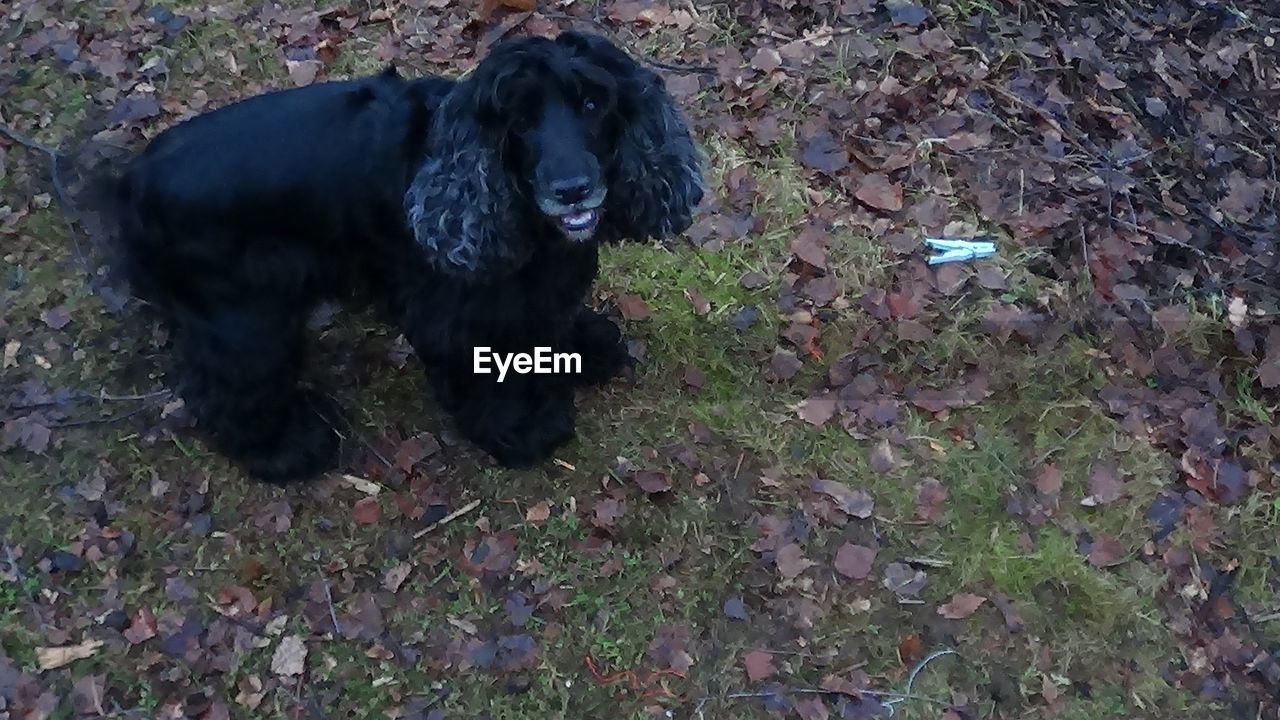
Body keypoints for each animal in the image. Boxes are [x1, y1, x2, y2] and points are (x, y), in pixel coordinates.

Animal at [111, 33, 706, 481]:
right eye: (518, 121)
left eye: (591, 104)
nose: (572, 189)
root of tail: (130, 181)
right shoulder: (454, 312)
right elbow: (486, 374)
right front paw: (523, 429)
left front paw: (584, 346)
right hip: (244, 319)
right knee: (225, 389)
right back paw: (288, 448)